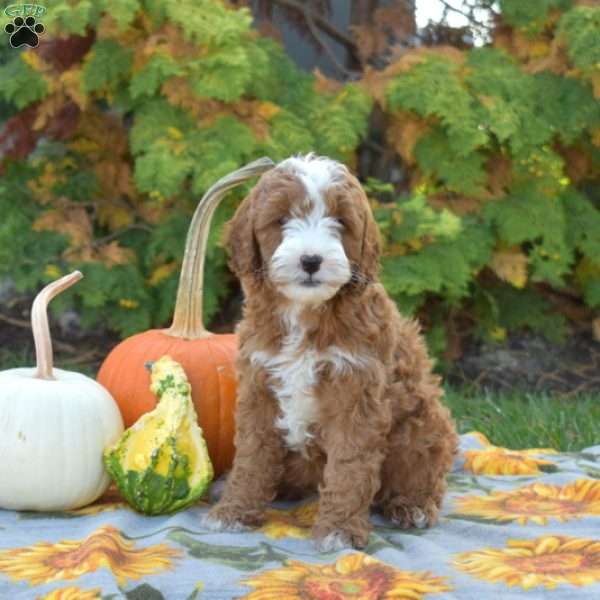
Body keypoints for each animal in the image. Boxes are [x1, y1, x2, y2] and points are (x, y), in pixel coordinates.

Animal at [204, 156, 458, 552]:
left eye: (340, 221)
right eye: (281, 219)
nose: (311, 260)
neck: (306, 311)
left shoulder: (356, 390)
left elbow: (349, 467)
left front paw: (339, 529)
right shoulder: (259, 385)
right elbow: (253, 454)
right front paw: (235, 509)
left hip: (425, 427)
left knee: (423, 473)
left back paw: (411, 505)